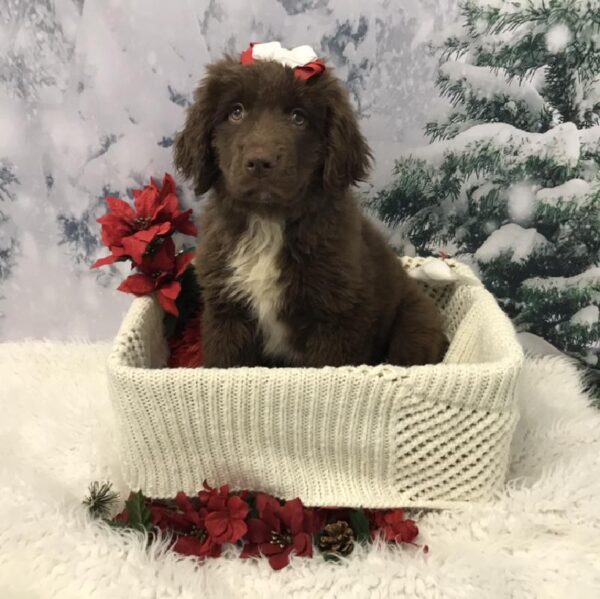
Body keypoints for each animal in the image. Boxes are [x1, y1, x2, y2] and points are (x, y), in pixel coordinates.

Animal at [173, 56, 446, 368]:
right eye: (236, 112)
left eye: (298, 117)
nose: (260, 162)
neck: (268, 222)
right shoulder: (227, 314)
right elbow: (224, 362)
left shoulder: (335, 321)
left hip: (415, 325)